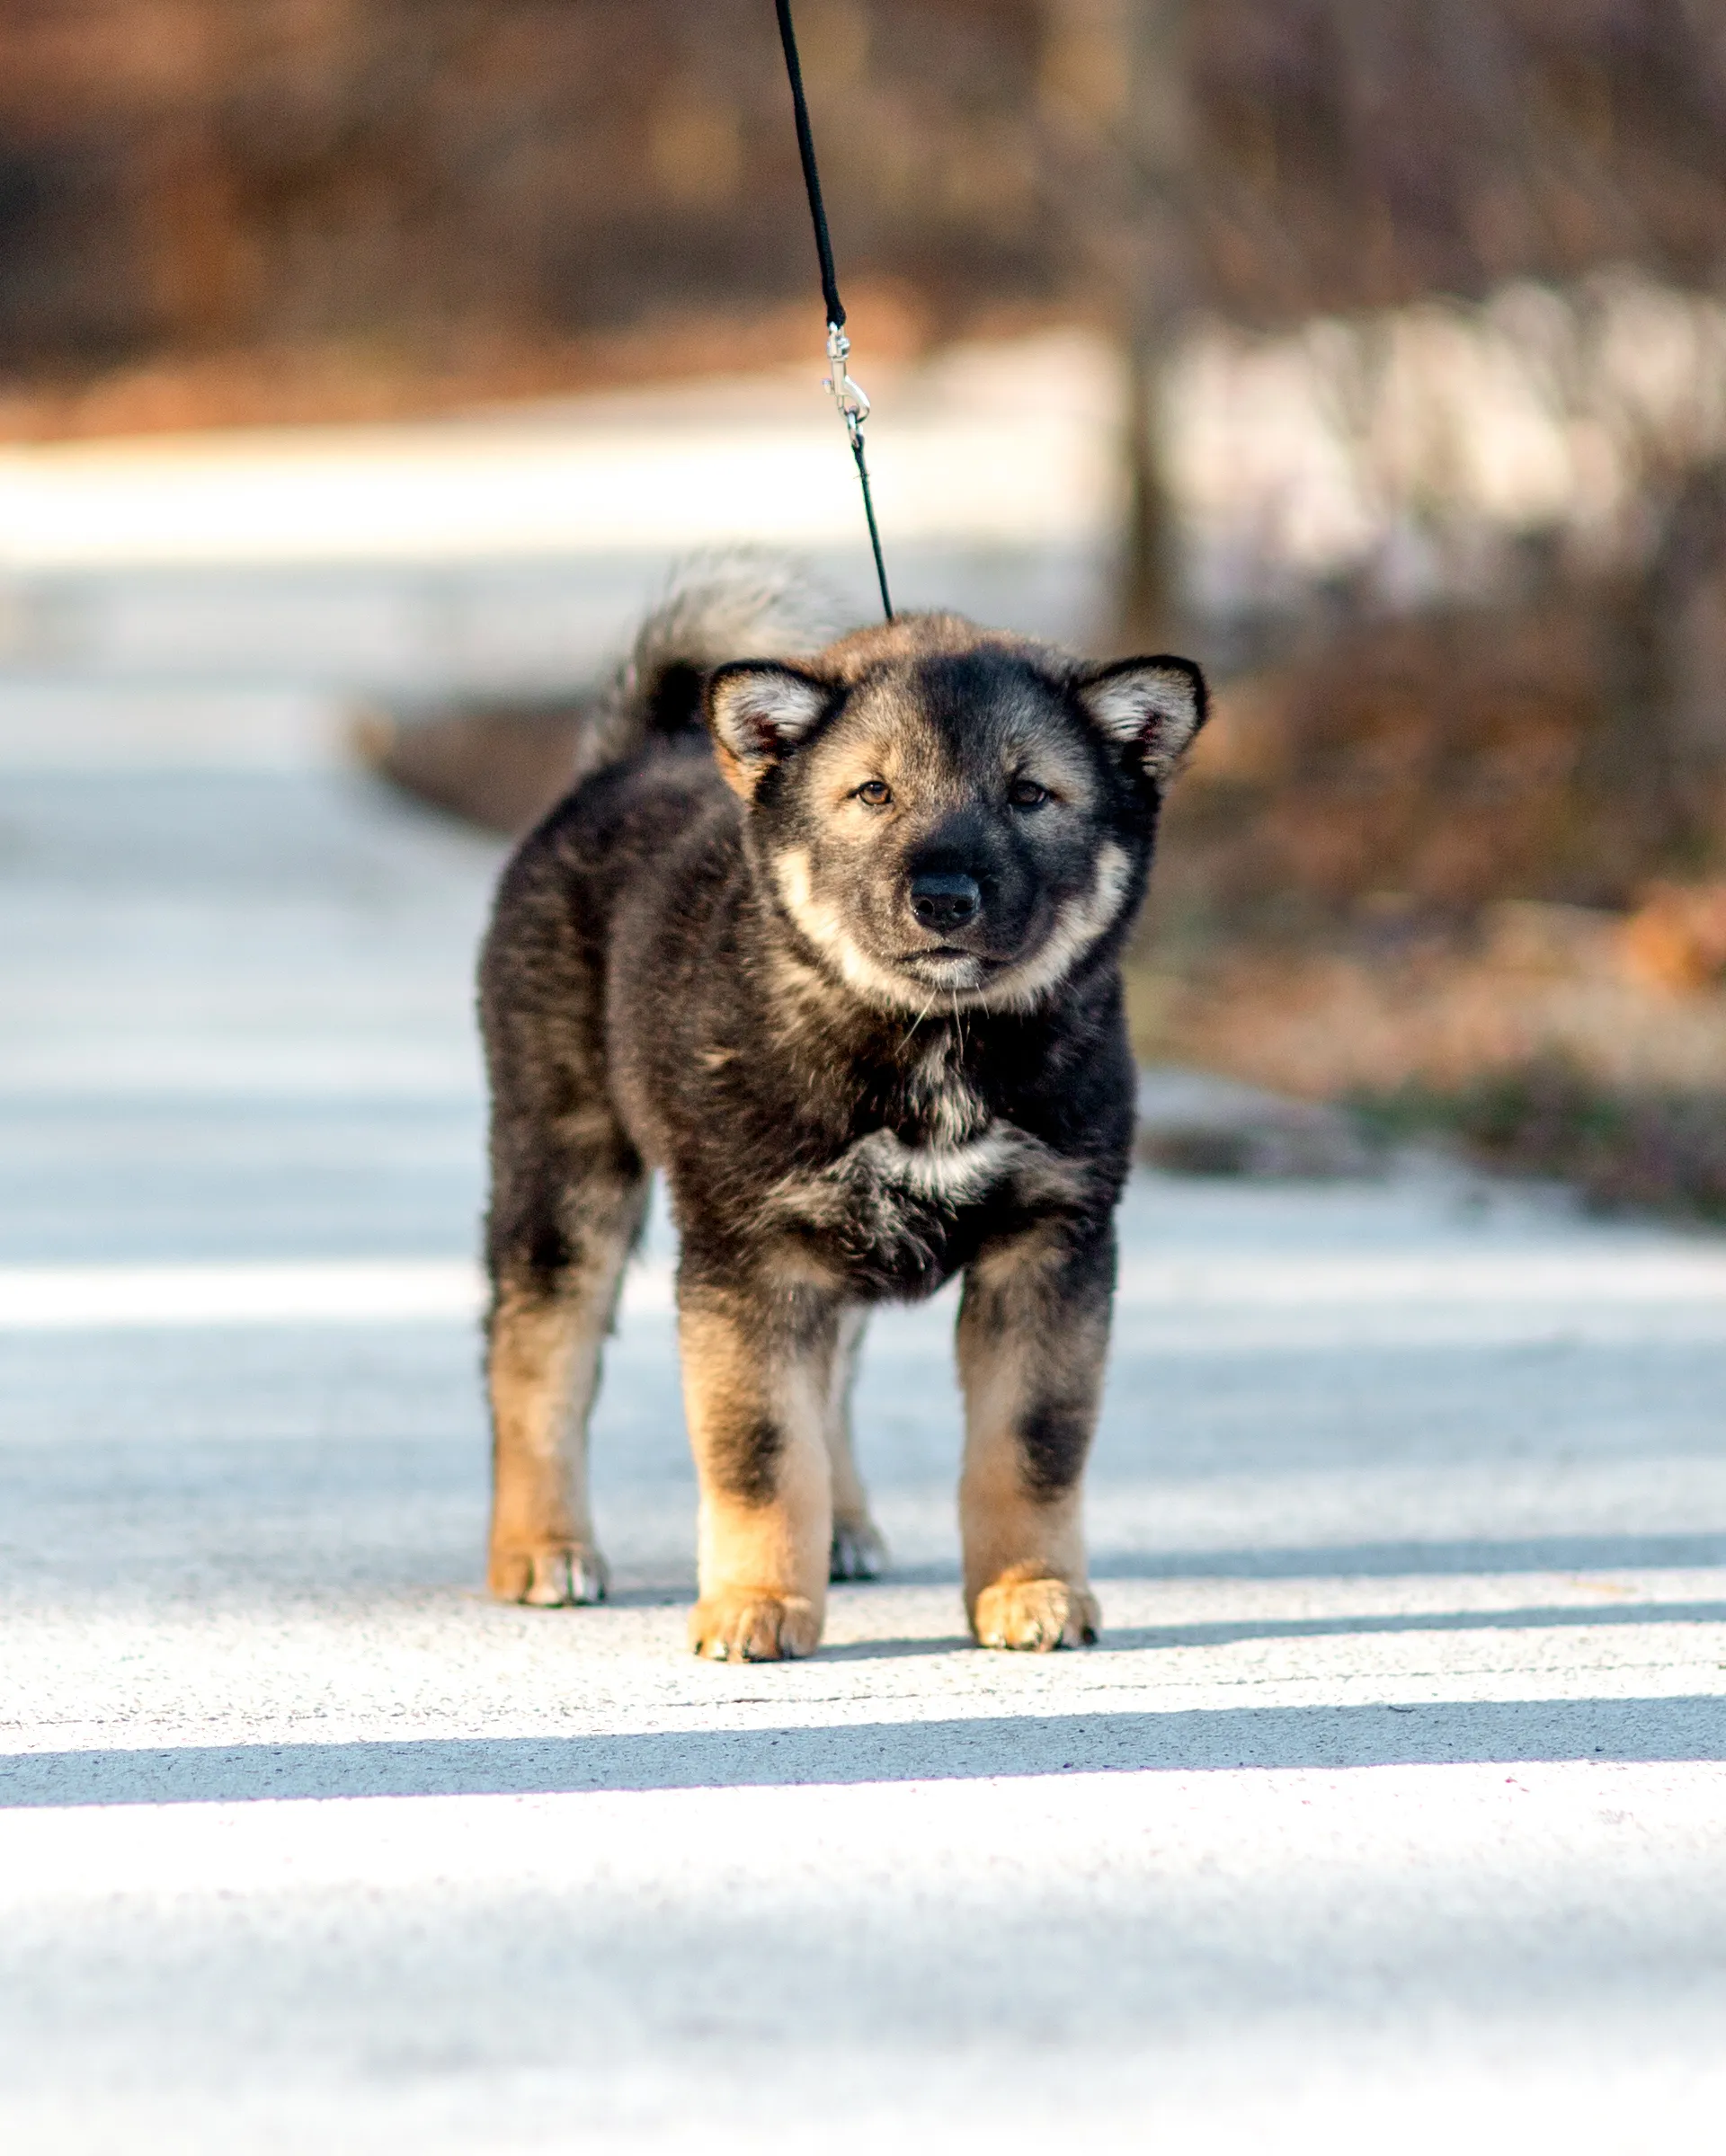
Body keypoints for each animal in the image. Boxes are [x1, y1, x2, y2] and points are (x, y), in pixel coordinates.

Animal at [478, 552, 1208, 1646]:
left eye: (1030, 793)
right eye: (873, 792)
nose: (944, 897)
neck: (932, 1040)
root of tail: (628, 757)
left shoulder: (1051, 1242)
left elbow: (1031, 1444)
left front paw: (1028, 1587)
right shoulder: (751, 1254)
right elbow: (761, 1449)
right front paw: (757, 1602)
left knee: (833, 1381)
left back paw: (848, 1528)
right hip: (565, 1172)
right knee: (536, 1363)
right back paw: (540, 1544)